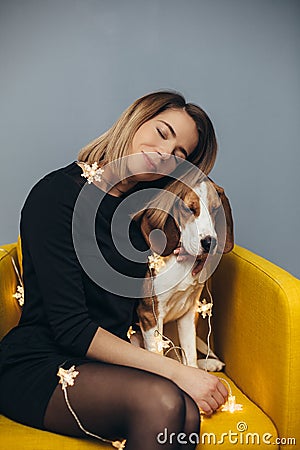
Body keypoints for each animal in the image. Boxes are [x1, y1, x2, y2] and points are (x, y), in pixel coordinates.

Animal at [134, 178, 234, 370]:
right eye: (189, 209)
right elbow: (158, 357)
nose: (210, 242)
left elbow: (190, 356)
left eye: (215, 209)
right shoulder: (150, 315)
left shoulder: (187, 311)